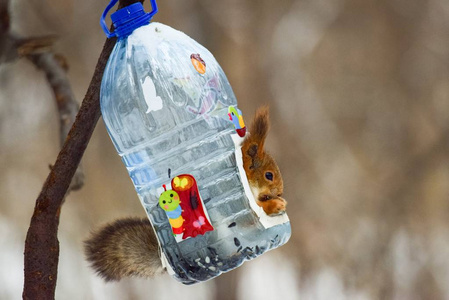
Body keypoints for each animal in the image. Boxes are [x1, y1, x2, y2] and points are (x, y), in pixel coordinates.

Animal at [84, 106, 286, 282]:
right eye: (269, 175)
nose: (280, 192)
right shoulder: (237, 206)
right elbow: (251, 214)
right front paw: (276, 204)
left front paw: (279, 202)